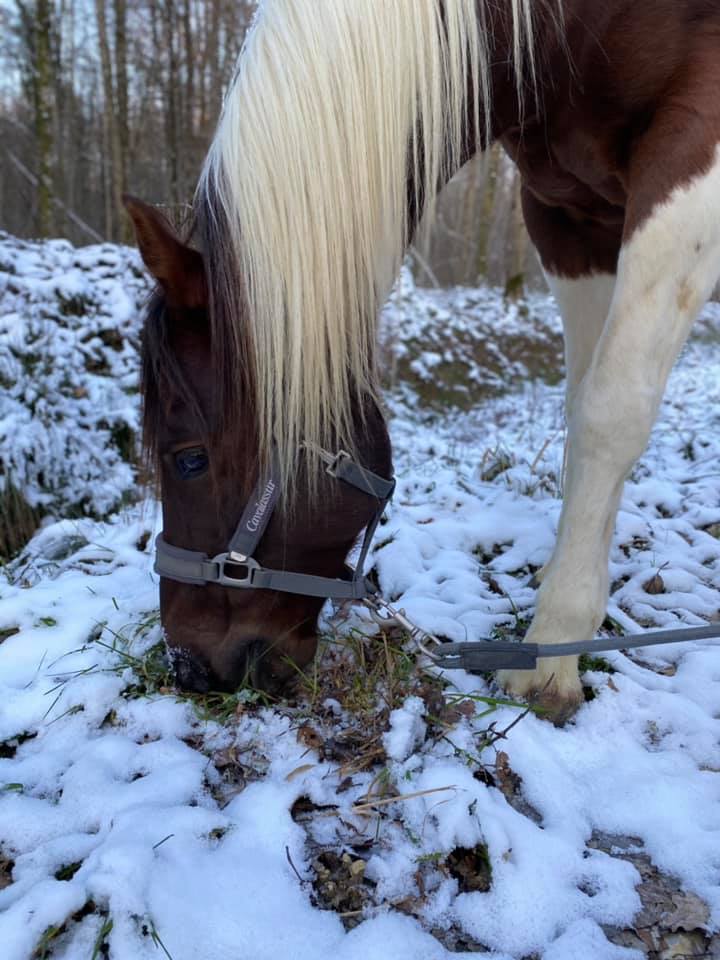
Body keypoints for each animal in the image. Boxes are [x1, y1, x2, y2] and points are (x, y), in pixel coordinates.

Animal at [126, 0, 720, 720]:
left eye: (188, 458)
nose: (189, 667)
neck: (569, 28)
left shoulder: (694, 159)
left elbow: (610, 415)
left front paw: (551, 650)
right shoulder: (565, 214)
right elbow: (582, 404)